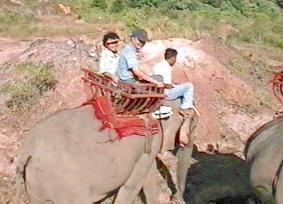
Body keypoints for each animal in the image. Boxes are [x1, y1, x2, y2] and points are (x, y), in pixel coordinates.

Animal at [13, 98, 200, 203]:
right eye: (193, 124)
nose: (175, 198)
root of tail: (27, 149)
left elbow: (148, 178)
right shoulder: (149, 143)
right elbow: (133, 184)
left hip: (35, 183)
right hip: (66, 184)